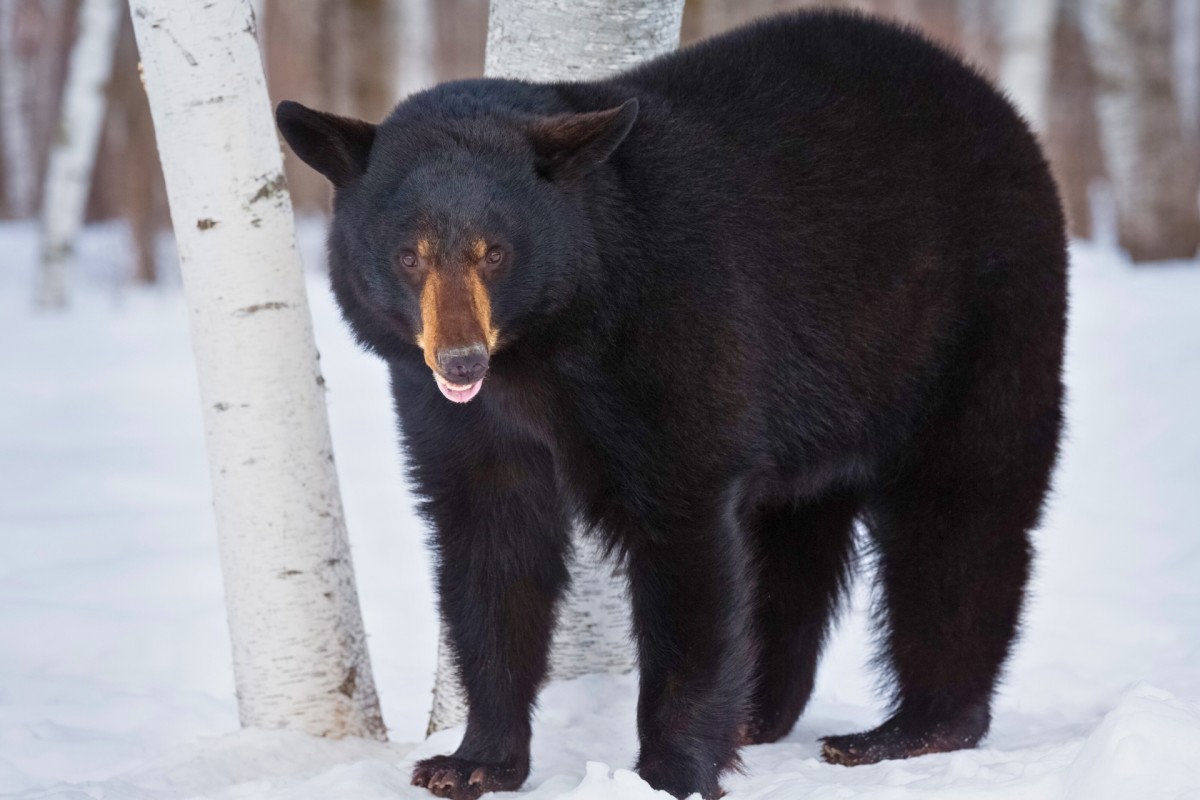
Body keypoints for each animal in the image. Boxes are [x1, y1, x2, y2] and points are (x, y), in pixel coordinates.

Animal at [276, 9, 1066, 800]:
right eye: (408, 254)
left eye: (493, 251)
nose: (460, 358)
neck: (544, 351)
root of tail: (997, 104)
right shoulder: (457, 414)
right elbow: (492, 543)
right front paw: (473, 759)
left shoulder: (676, 336)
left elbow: (687, 545)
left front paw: (668, 771)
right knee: (792, 543)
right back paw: (762, 712)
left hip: (974, 325)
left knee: (961, 512)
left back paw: (907, 730)